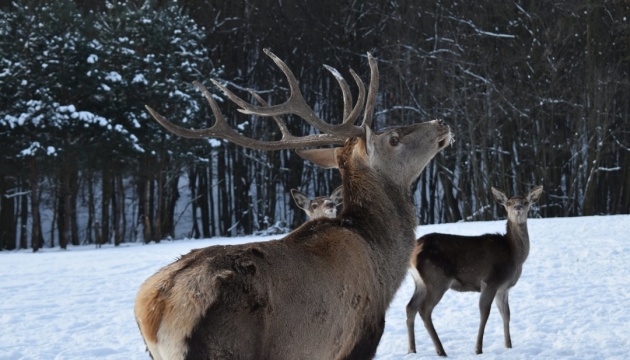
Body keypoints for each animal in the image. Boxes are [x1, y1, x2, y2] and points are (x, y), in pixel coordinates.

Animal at [136, 48, 452, 360]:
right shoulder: (361, 335)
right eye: (393, 138)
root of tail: (156, 311)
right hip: (227, 346)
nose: (441, 123)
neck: (382, 266)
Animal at [408, 186, 544, 358]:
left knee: (410, 307)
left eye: (526, 202)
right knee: (424, 309)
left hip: (420, 282)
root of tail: (414, 252)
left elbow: (506, 314)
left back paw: (412, 349)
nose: (518, 207)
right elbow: (484, 313)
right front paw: (478, 349)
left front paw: (508, 346)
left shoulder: (503, 288)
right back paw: (441, 351)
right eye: (509, 203)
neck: (513, 254)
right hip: (437, 279)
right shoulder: (490, 281)